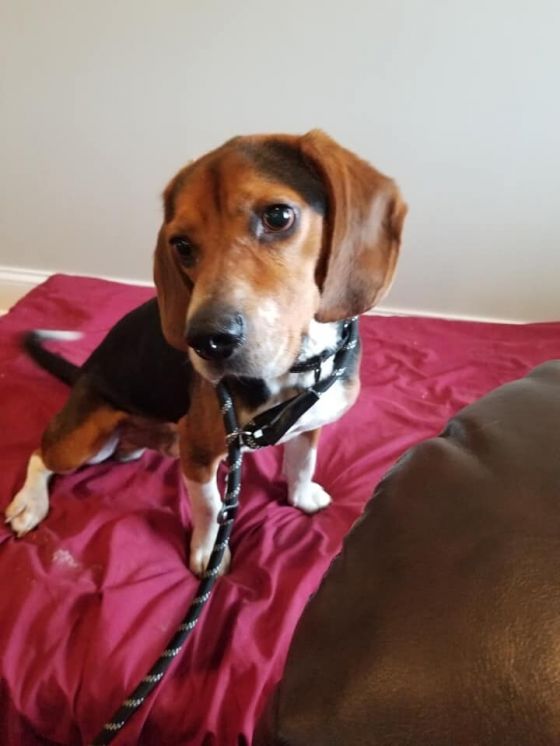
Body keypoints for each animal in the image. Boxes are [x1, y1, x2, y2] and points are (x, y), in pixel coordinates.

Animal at [5, 130, 407, 576]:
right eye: (181, 245)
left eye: (278, 216)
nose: (207, 340)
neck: (298, 366)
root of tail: (83, 373)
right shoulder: (198, 452)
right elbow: (212, 505)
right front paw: (208, 550)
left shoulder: (312, 424)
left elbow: (303, 463)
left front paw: (302, 497)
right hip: (85, 440)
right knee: (41, 454)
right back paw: (29, 504)